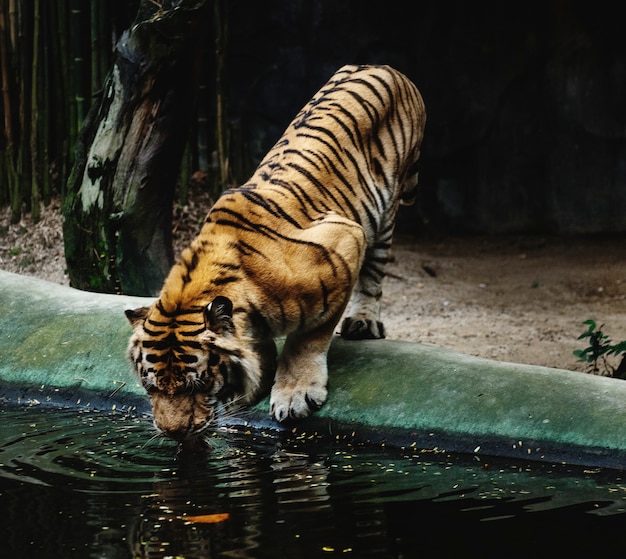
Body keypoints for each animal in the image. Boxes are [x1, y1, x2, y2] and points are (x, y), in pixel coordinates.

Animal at [124, 63, 426, 444]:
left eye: (199, 384)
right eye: (151, 387)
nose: (174, 434)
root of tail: (382, 66)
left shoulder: (345, 239)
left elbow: (308, 337)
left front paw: (294, 394)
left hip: (385, 212)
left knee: (374, 272)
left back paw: (363, 321)